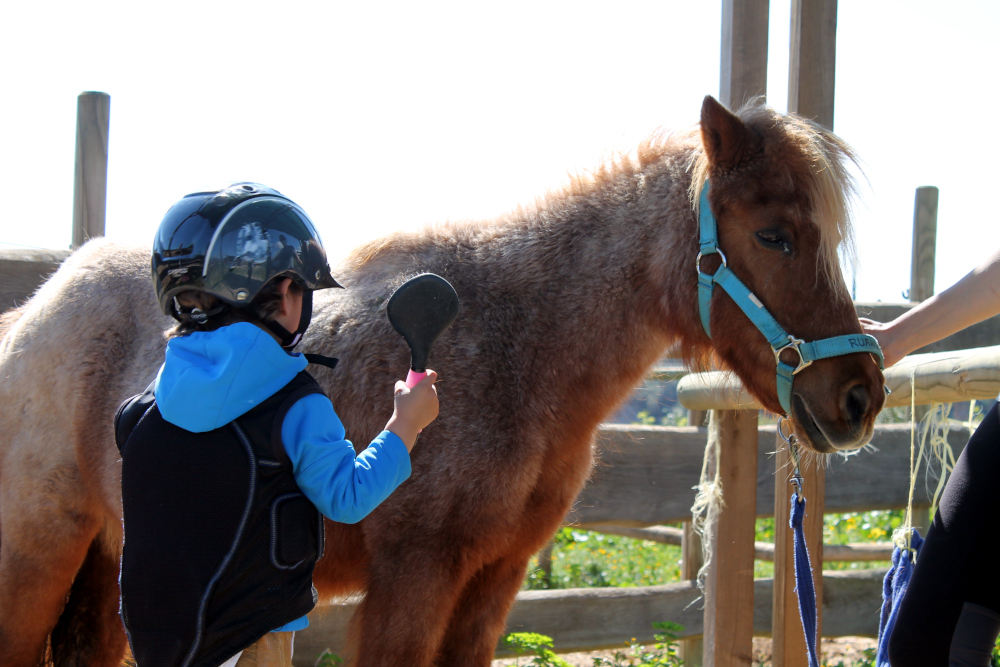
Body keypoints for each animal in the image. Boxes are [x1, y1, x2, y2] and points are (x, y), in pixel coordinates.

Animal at [0, 95, 888, 667]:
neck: (518, 344)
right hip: (37, 563)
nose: (860, 394)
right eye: (773, 233)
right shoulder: (415, 578)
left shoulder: (492, 582)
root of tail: (36, 309)